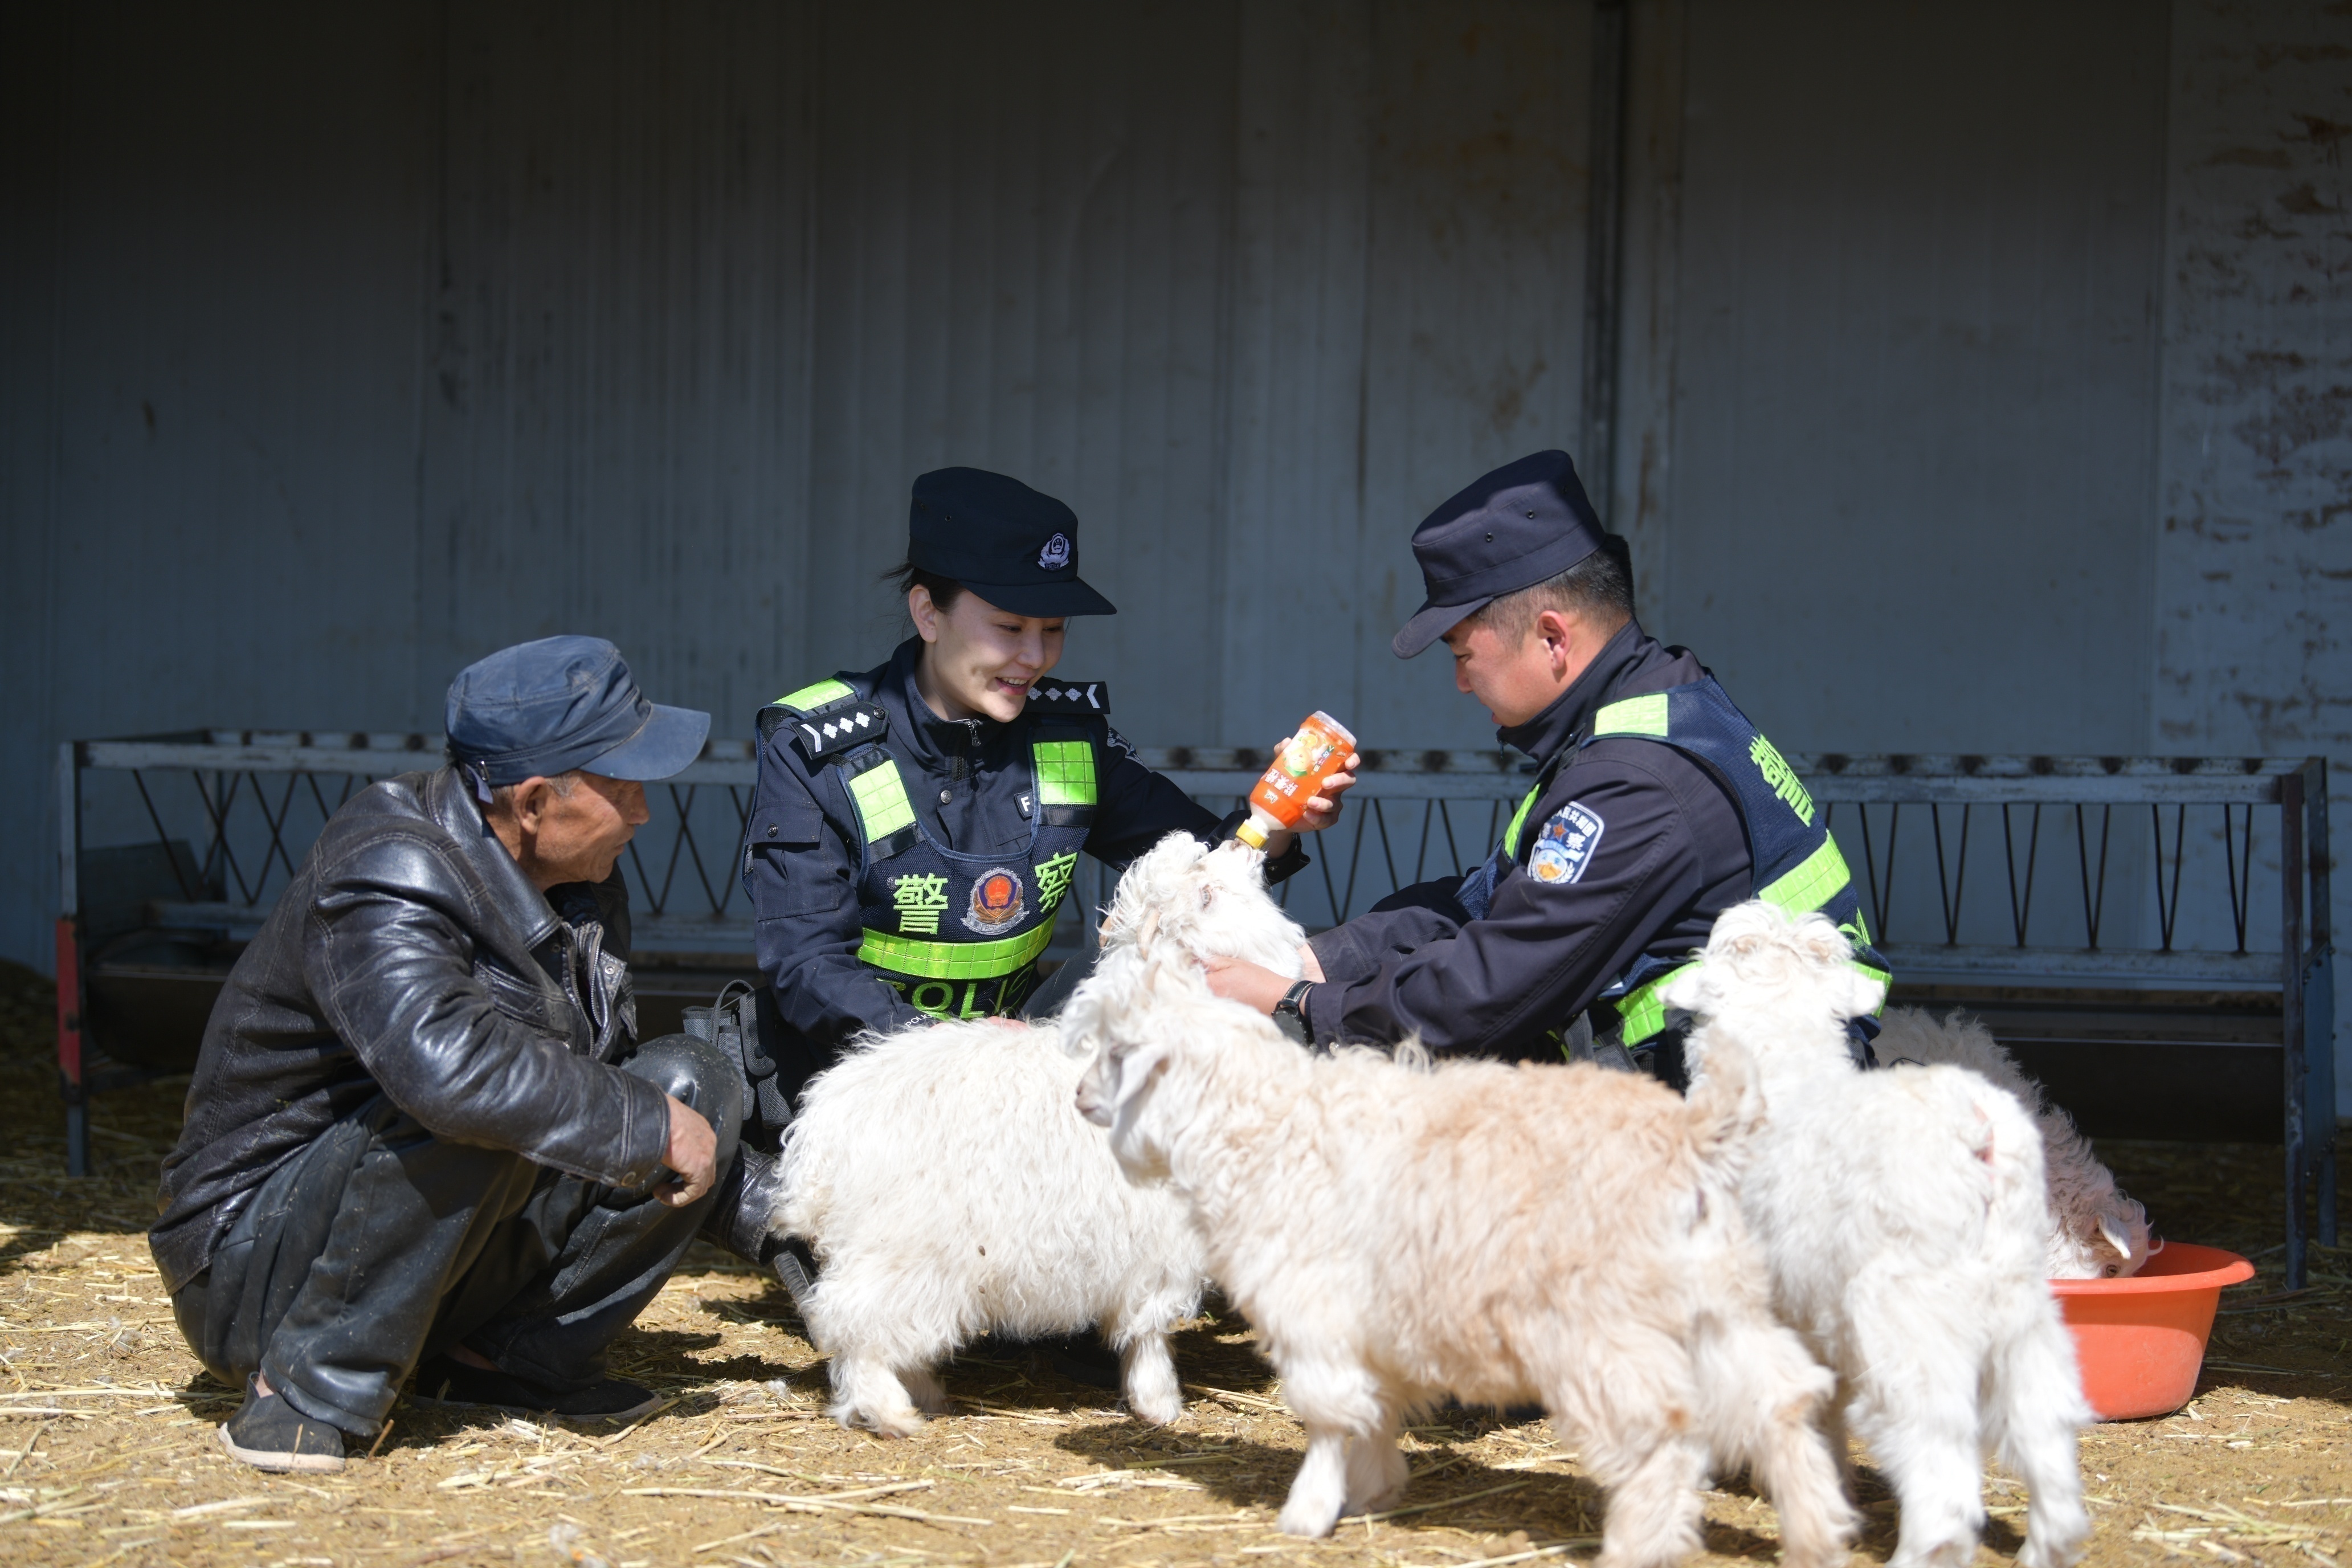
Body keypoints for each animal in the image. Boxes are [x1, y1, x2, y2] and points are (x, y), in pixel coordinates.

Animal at [771, 832, 1298, 1439]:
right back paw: (889, 1410)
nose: (1247, 848)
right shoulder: (1159, 1236)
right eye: (1206, 893)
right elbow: (1149, 1327)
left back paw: (924, 1393)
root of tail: (822, 1128)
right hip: (902, 1245)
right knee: (852, 1321)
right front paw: (1159, 1402)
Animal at [1068, 949, 1853, 1561]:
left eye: (1118, 1055)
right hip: (1719, 1306)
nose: (1078, 1099)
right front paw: (1373, 1491)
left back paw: (1637, 1546)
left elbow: (1328, 1418)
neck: (1263, 1125)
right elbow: (1372, 1413)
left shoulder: (1314, 1314)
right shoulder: (1372, 1329)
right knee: (1782, 1400)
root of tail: (1692, 1137)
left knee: (1662, 1437)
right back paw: (1815, 1533)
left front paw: (1308, 1512)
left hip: (1604, 1331)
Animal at [1656, 903, 2098, 1568]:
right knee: (2042, 1420)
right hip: (2019, 1306)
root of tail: (1978, 1133)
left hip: (1907, 1317)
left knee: (1941, 1464)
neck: (1786, 1068)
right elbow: (1821, 1408)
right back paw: (2049, 1545)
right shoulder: (1811, 1316)